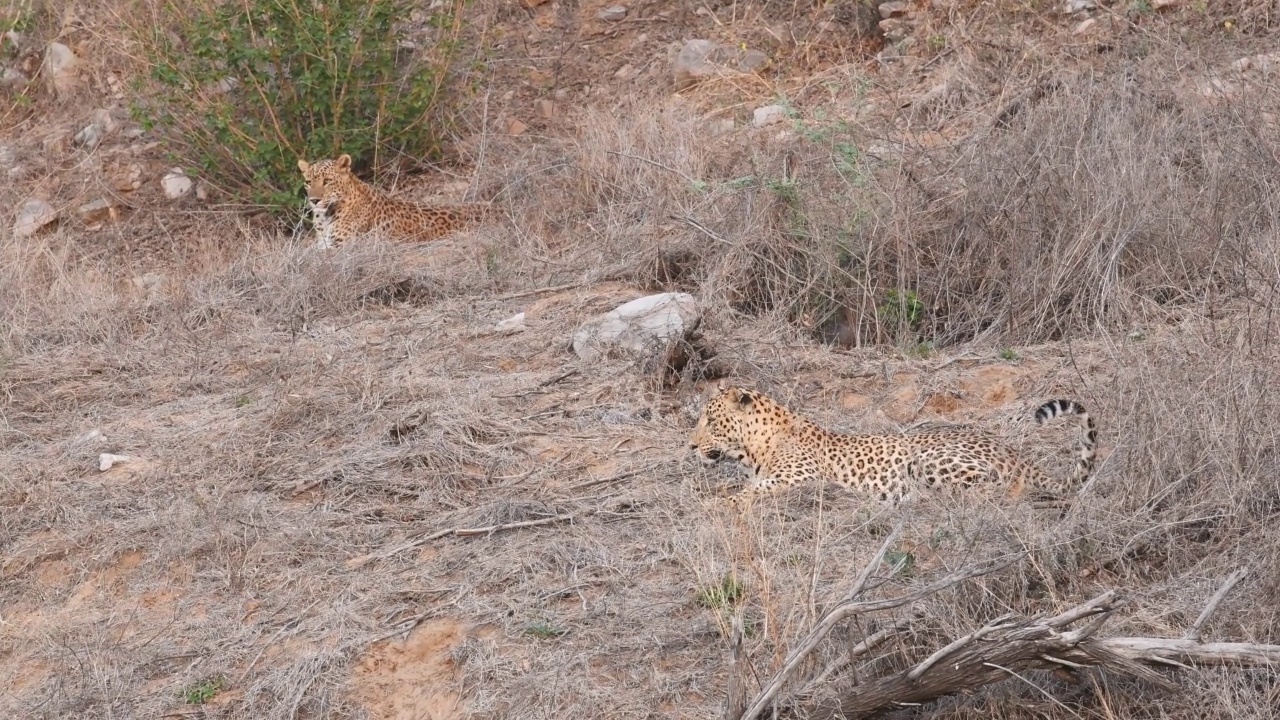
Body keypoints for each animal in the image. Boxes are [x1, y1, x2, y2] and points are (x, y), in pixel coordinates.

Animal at [691, 386, 1100, 504]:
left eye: (710, 420)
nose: (691, 446)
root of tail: (1012, 452)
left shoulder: (798, 477)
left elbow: (745, 495)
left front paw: (716, 505)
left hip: (928, 460)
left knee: (997, 491)